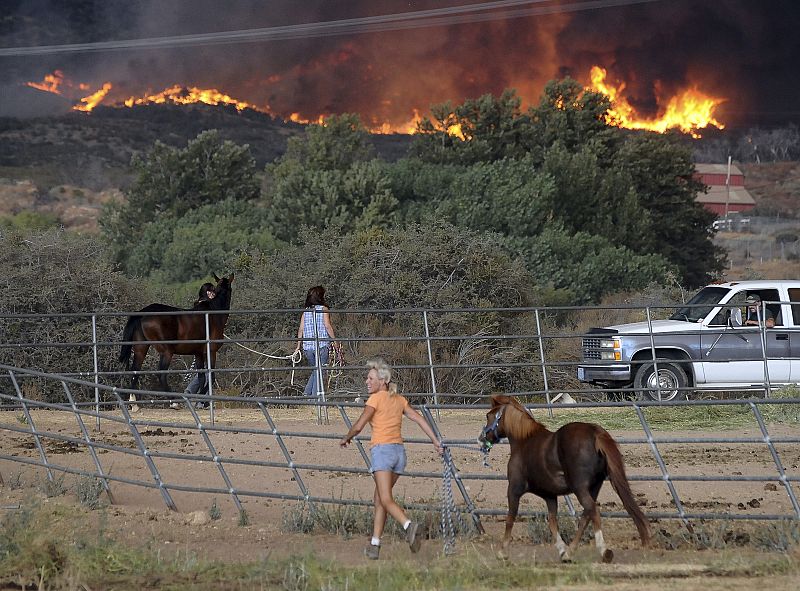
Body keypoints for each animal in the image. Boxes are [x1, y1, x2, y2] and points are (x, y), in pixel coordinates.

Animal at [119, 274, 233, 408]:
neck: (213, 312)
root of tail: (142, 313)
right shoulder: (211, 351)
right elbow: (211, 376)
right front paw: (202, 400)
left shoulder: (199, 354)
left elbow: (201, 378)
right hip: (167, 352)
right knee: (161, 374)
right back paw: (173, 402)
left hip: (140, 350)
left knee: (135, 371)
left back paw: (134, 404)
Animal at [478, 396, 648, 560]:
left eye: (488, 415)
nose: (481, 438)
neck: (524, 442)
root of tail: (595, 433)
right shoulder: (550, 496)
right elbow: (553, 523)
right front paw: (561, 549)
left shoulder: (514, 489)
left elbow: (510, 518)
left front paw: (502, 551)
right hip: (594, 487)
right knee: (586, 516)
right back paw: (569, 552)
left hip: (580, 488)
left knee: (592, 510)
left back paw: (603, 551)